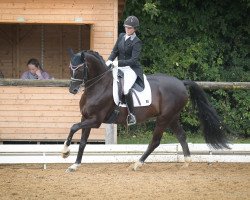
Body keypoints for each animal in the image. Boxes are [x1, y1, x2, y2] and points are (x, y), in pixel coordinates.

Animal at [61, 49, 231, 172]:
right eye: (70, 68)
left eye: (80, 68)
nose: (72, 90)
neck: (99, 86)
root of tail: (181, 83)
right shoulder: (86, 118)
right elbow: (82, 141)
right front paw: (74, 164)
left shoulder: (95, 120)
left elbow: (73, 127)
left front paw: (64, 151)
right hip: (172, 117)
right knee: (182, 136)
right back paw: (186, 162)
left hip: (163, 118)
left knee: (155, 142)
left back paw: (137, 164)